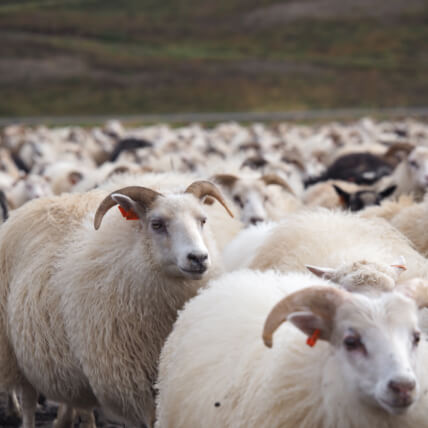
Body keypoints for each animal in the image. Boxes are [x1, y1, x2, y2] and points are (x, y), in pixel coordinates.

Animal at [0, 180, 234, 428]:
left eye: (203, 221)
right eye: (157, 224)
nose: (198, 258)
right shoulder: (128, 382)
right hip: (16, 352)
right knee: (29, 400)